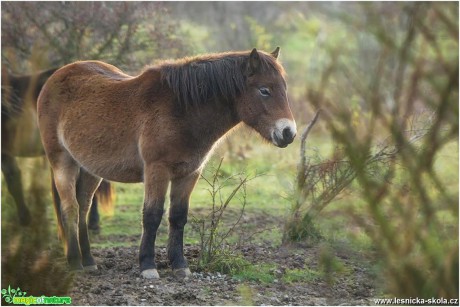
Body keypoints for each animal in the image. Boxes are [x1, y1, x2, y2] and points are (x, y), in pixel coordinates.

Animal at [35, 47, 294, 280]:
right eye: (264, 90)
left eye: (284, 88)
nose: (288, 132)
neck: (182, 110)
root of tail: (55, 77)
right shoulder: (156, 170)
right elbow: (152, 215)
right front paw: (148, 266)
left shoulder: (188, 173)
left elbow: (178, 216)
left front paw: (180, 266)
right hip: (62, 161)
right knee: (70, 208)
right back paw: (75, 263)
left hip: (91, 169)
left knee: (84, 208)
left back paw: (89, 261)